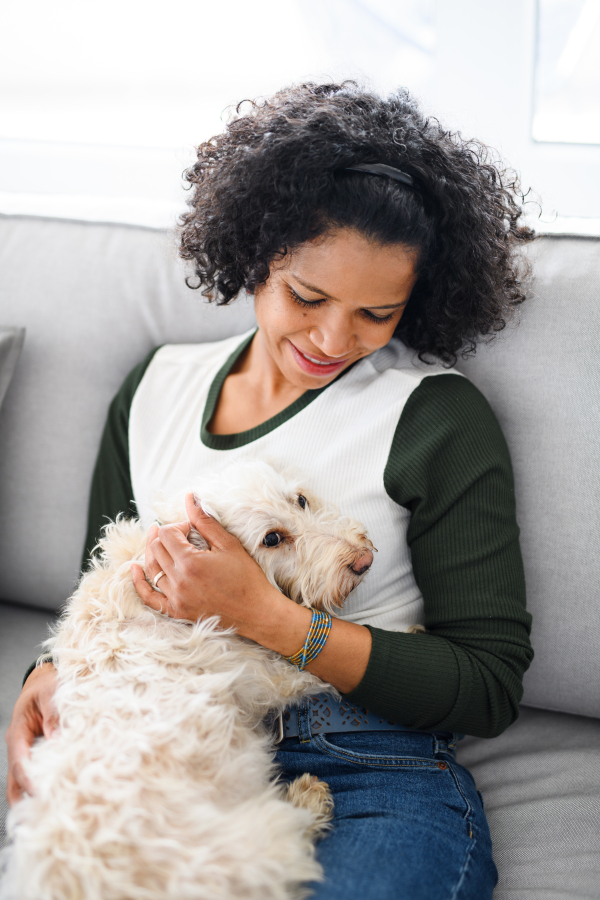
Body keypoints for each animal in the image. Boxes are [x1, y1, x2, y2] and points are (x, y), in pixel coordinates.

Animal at [1, 460, 376, 896]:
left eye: (300, 499)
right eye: (272, 539)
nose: (363, 560)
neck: (146, 579)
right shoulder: (265, 671)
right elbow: (311, 673)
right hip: (248, 847)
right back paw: (308, 798)